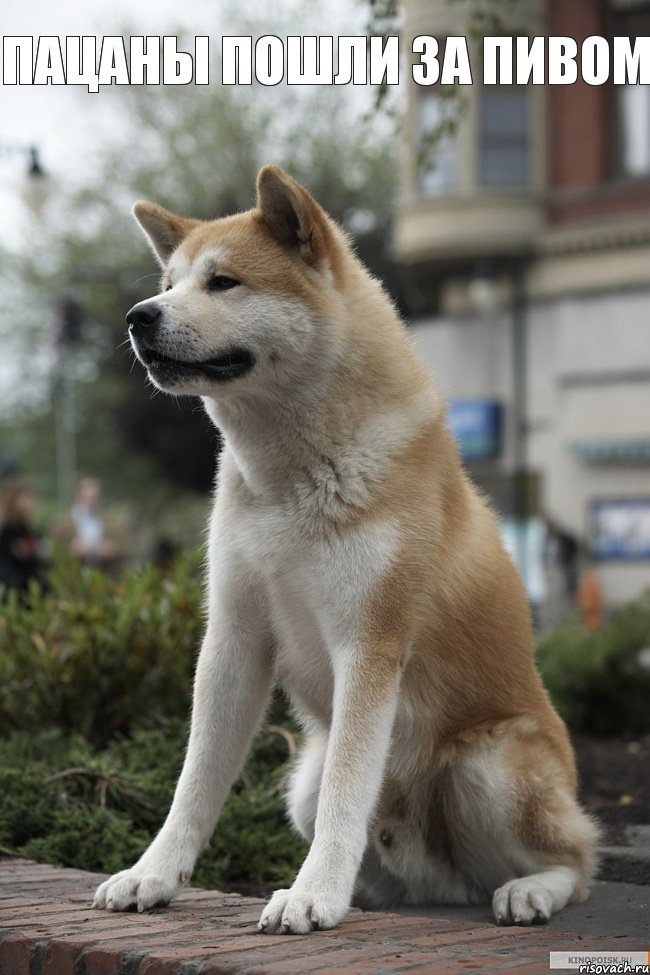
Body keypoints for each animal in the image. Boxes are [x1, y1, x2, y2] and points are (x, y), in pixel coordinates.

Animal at [92, 166, 596, 932]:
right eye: (170, 282)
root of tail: (443, 884)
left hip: (489, 764)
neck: (290, 478)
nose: (138, 315)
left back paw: (529, 889)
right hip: (300, 777)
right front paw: (153, 874)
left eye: (224, 282)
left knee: (577, 861)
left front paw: (313, 894)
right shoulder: (234, 638)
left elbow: (346, 791)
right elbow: (194, 784)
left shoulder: (369, 643)